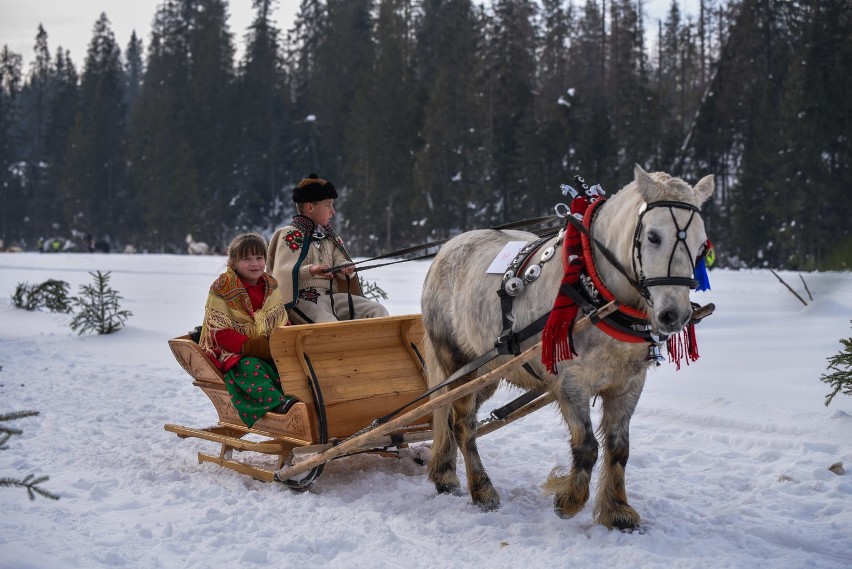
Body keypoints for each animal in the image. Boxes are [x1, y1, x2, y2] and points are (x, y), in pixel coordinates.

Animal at [420, 166, 712, 532]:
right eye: (654, 236)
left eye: (702, 246)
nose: (674, 315)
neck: (596, 287)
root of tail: (446, 249)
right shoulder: (570, 381)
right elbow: (587, 445)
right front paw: (568, 500)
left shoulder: (628, 383)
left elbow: (619, 448)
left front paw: (617, 511)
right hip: (456, 360)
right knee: (460, 423)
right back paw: (481, 490)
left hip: (487, 372)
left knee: (455, 420)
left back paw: (445, 474)